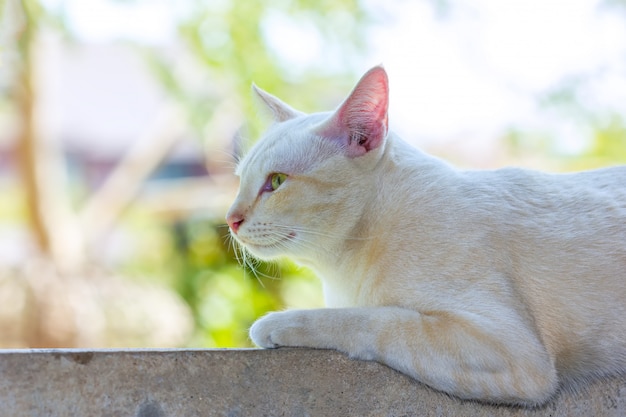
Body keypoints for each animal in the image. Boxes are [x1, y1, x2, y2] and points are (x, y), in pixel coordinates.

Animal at [225, 66, 624, 404]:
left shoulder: (510, 352)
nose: (231, 219)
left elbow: (370, 318)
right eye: (240, 180)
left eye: (277, 182)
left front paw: (275, 324)